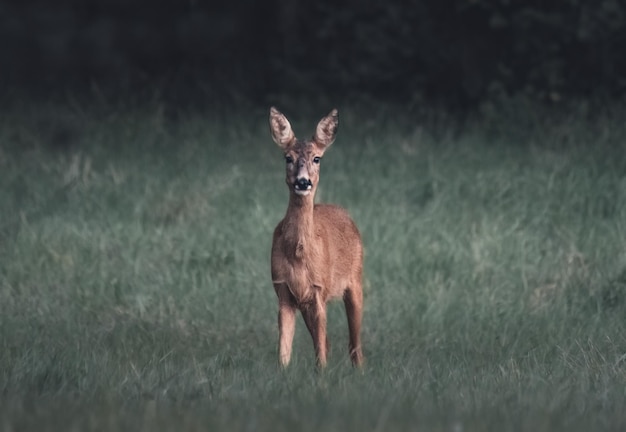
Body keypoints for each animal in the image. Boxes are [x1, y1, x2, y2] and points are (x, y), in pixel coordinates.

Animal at [266, 107, 364, 368]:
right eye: (287, 158)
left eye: (317, 158)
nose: (303, 182)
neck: (299, 255)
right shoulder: (284, 291)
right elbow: (284, 350)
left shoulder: (319, 288)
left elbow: (321, 352)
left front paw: (322, 376)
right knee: (330, 343)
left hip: (356, 279)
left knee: (355, 346)